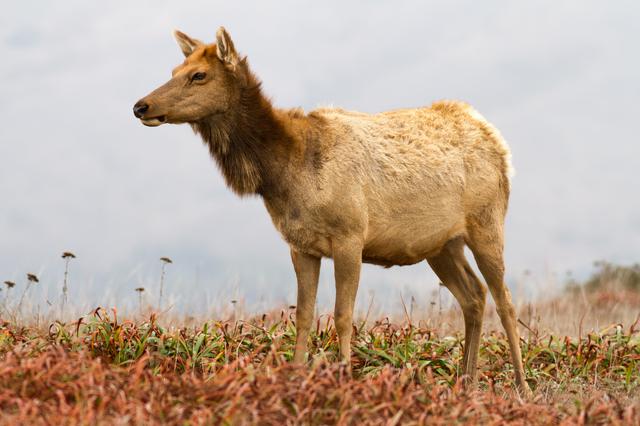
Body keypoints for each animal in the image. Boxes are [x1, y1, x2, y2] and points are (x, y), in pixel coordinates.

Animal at [134, 25, 528, 392]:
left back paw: (521, 385)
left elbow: (342, 314)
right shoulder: (300, 246)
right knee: (474, 296)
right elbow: (304, 315)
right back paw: (468, 381)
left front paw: (345, 377)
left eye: (199, 75)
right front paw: (296, 375)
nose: (141, 105)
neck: (284, 172)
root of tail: (496, 140)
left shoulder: (350, 235)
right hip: (441, 244)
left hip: (487, 222)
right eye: (174, 69)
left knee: (505, 300)